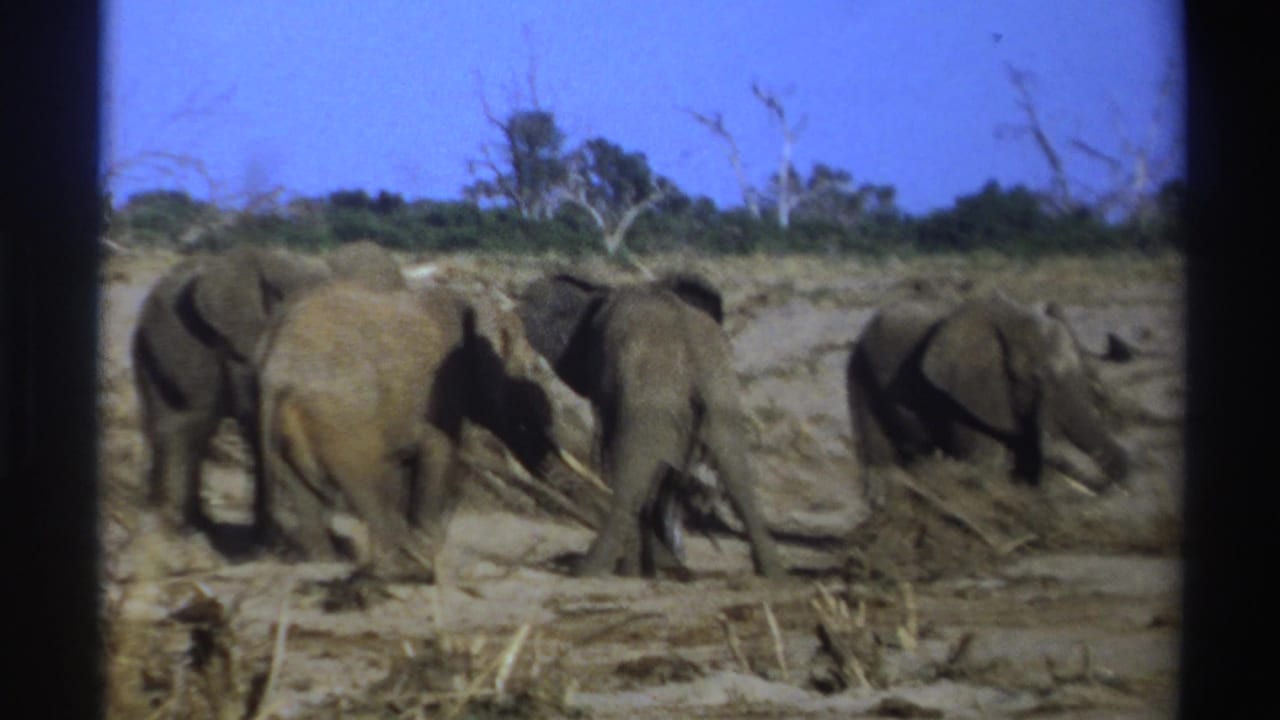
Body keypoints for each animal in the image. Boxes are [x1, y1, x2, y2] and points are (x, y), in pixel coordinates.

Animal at [253, 281, 554, 579]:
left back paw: (329, 561)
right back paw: (401, 565)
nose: (544, 468)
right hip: (342, 416)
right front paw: (426, 545)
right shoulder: (441, 396)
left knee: (302, 486)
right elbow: (439, 451)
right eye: (530, 374)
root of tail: (276, 368)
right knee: (366, 480)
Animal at [516, 272, 784, 579]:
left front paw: (637, 570)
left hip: (656, 401)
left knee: (630, 483)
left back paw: (592, 570)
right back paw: (772, 574)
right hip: (720, 397)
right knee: (737, 477)